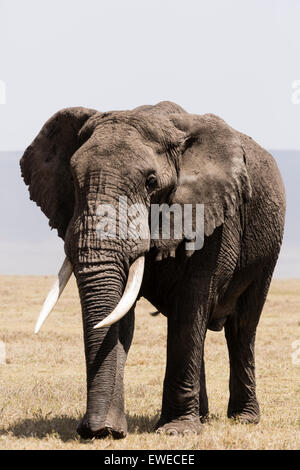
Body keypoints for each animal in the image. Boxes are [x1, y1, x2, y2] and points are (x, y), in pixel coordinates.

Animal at [20, 101, 286, 438]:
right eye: (73, 179)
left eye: (151, 182)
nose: (89, 430)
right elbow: (123, 313)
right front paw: (109, 430)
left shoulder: (210, 216)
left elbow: (191, 306)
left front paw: (176, 433)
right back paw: (202, 416)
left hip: (268, 249)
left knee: (241, 327)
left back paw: (243, 419)